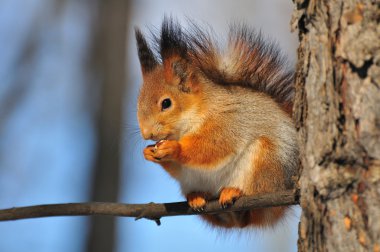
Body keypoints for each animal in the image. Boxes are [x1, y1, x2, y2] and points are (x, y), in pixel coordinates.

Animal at [135, 18, 298, 228]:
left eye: (166, 103)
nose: (147, 134)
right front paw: (148, 152)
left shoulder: (228, 121)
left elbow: (215, 146)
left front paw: (174, 148)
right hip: (191, 181)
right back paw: (198, 197)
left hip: (266, 162)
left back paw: (235, 192)